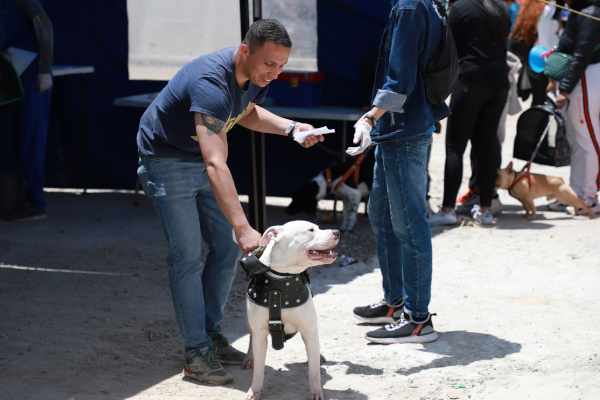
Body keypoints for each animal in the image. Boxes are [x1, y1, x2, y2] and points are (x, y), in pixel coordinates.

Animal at [240, 220, 342, 400]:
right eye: (310, 230)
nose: (337, 232)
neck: (282, 280)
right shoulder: (260, 333)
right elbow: (259, 369)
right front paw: (254, 390)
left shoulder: (309, 329)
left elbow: (314, 371)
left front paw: (316, 392)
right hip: (248, 323)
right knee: (251, 338)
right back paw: (249, 357)